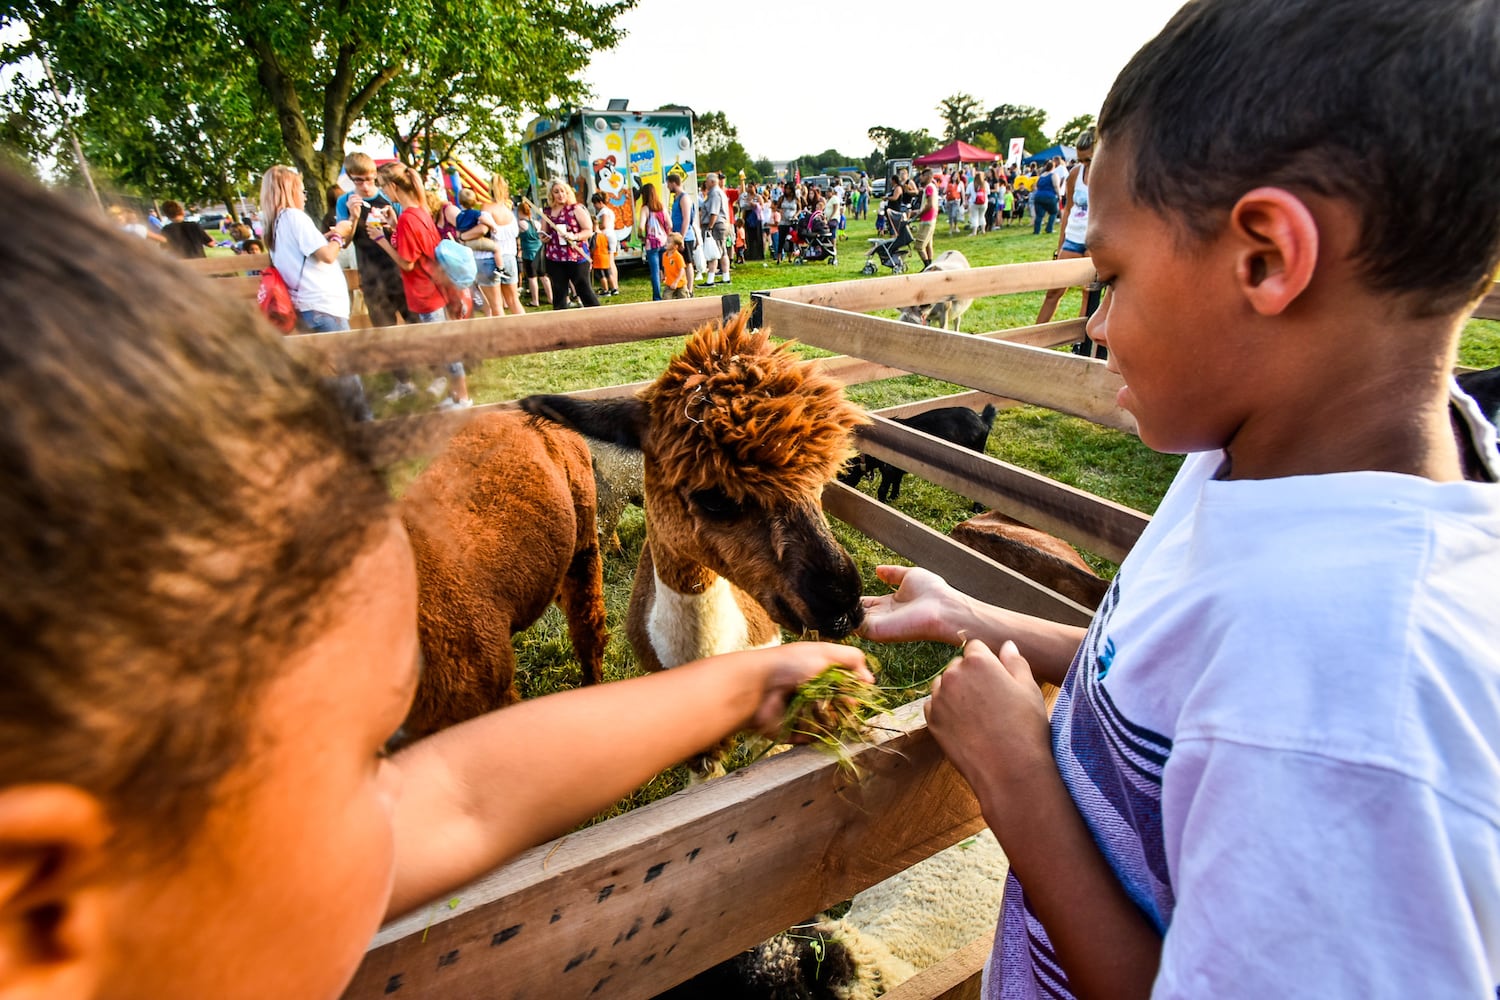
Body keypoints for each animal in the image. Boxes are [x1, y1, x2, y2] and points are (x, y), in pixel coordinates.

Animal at [840, 401, 1002, 503]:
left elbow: (883, 488)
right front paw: (894, 498)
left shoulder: (889, 469)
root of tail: (983, 420)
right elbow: (897, 482)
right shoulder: (897, 468)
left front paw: (883, 502)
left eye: (842, 474)